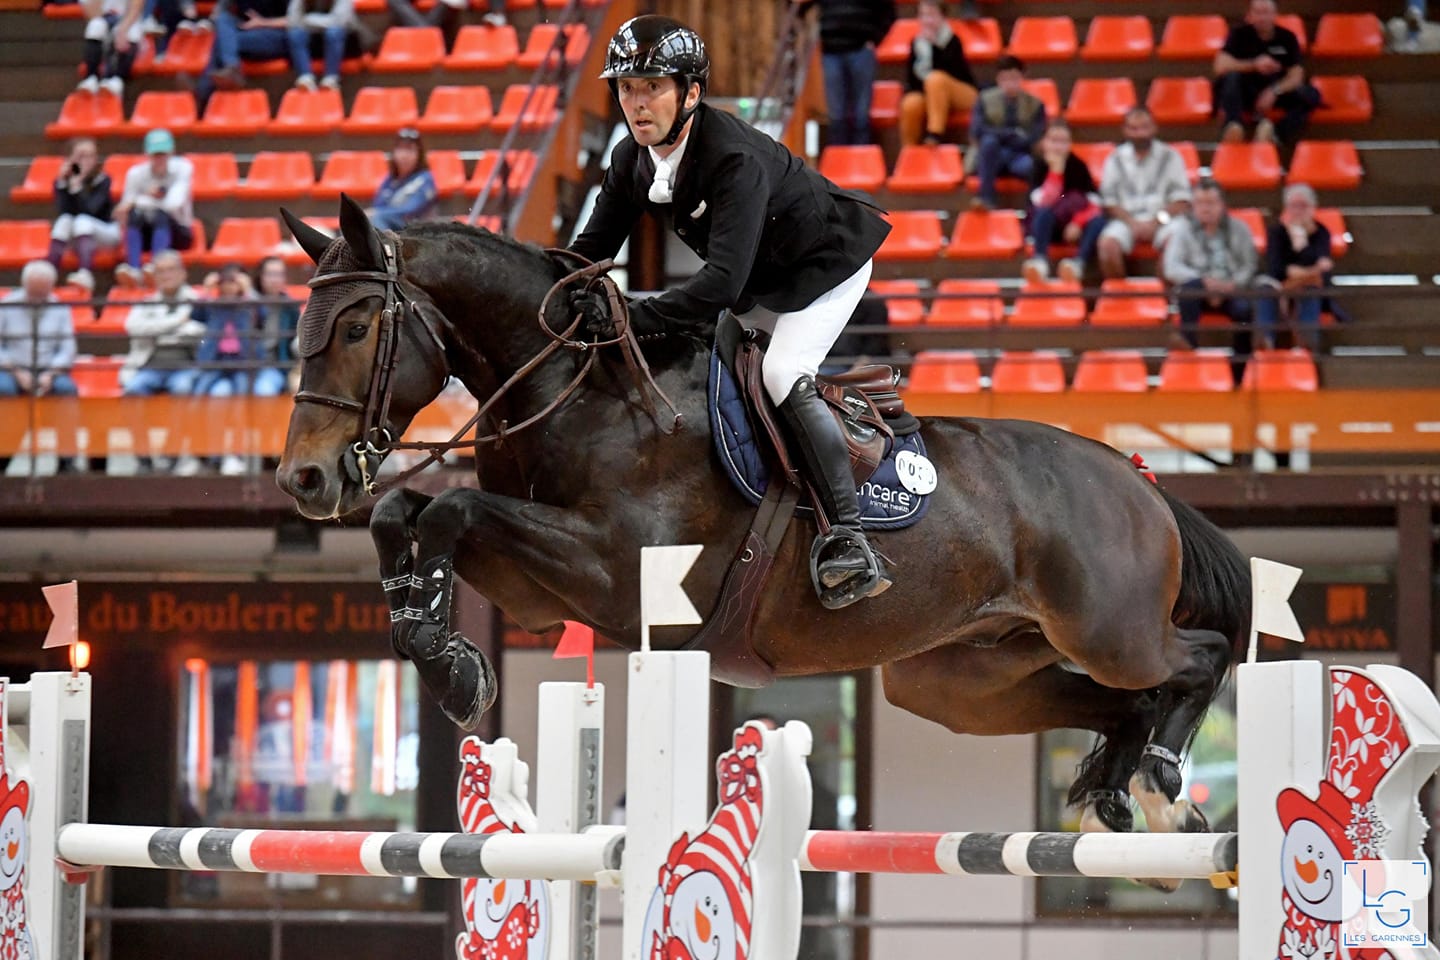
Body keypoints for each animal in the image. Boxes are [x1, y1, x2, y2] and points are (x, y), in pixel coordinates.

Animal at [277, 197, 1249, 863]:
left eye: (357, 326)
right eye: (299, 331)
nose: (304, 480)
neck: (582, 392)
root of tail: (1139, 478)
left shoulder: (617, 572)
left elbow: (449, 509)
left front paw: (450, 669)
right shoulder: (538, 593)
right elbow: (410, 512)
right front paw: (435, 647)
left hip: (1108, 629)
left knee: (1194, 657)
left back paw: (1166, 781)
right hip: (963, 681)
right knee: (1115, 700)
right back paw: (1119, 790)